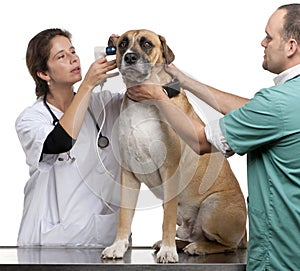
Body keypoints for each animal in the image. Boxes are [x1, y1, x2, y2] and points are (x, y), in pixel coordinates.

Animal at [101, 29, 246, 264]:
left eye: (147, 44)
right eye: (123, 43)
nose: (130, 57)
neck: (143, 103)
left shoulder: (170, 171)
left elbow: (166, 219)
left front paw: (168, 251)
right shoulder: (129, 173)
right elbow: (124, 215)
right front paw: (118, 246)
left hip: (212, 206)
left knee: (228, 246)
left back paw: (196, 247)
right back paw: (179, 243)